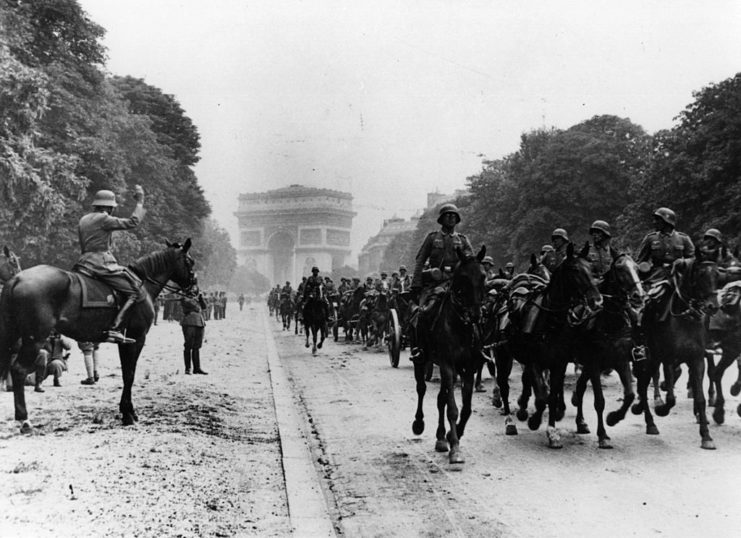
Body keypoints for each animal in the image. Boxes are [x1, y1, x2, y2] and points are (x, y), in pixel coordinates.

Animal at [0, 239, 195, 432]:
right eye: (190, 262)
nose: (194, 290)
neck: (142, 284)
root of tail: (16, 279)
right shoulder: (136, 339)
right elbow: (129, 375)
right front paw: (128, 415)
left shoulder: (124, 342)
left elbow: (126, 373)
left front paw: (127, 411)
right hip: (34, 339)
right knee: (18, 370)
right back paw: (24, 420)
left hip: (12, 335)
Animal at [414, 245, 488, 462]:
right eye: (463, 277)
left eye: (483, 276)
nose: (475, 315)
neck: (460, 326)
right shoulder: (447, 365)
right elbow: (453, 409)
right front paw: (455, 446)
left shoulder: (468, 368)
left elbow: (466, 408)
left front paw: (453, 434)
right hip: (421, 360)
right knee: (421, 389)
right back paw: (419, 424)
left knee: (441, 399)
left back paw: (440, 438)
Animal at [498, 241, 600, 446]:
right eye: (575, 270)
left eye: (592, 268)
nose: (596, 300)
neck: (551, 322)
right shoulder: (535, 362)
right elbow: (542, 396)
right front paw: (535, 421)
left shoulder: (558, 363)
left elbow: (551, 396)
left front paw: (552, 430)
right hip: (503, 356)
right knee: (504, 386)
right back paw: (510, 420)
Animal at [568, 253, 644, 446]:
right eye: (620, 269)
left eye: (637, 268)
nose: (639, 296)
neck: (610, 323)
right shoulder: (594, 365)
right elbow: (599, 401)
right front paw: (602, 435)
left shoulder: (621, 362)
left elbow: (630, 395)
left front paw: (613, 418)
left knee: (580, 388)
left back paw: (581, 421)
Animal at [632, 255, 716, 448]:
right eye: (700, 275)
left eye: (716, 275)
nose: (713, 306)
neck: (686, 319)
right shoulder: (669, 359)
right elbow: (671, 398)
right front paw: (661, 408)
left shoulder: (697, 360)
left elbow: (700, 398)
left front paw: (706, 436)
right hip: (648, 358)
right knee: (643, 385)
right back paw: (649, 421)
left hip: (654, 360)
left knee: (644, 384)